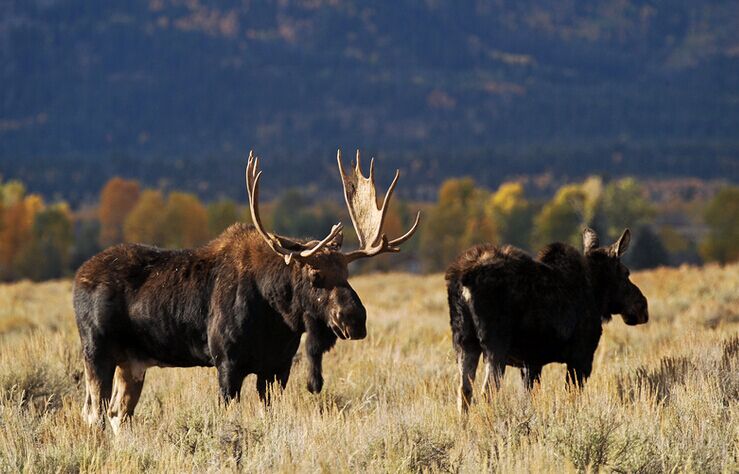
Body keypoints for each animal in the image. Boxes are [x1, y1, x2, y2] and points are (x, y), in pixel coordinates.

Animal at [76, 150, 422, 432]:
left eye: (348, 273)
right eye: (315, 275)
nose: (355, 319)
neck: (277, 319)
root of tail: (78, 277)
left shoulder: (277, 368)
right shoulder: (227, 362)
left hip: (131, 362)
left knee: (118, 413)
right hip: (97, 351)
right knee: (94, 414)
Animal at [446, 228, 648, 412]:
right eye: (626, 273)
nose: (642, 306)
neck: (598, 296)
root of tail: (463, 281)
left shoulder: (531, 362)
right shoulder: (581, 356)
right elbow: (572, 397)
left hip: (465, 342)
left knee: (464, 391)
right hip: (495, 345)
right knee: (487, 391)